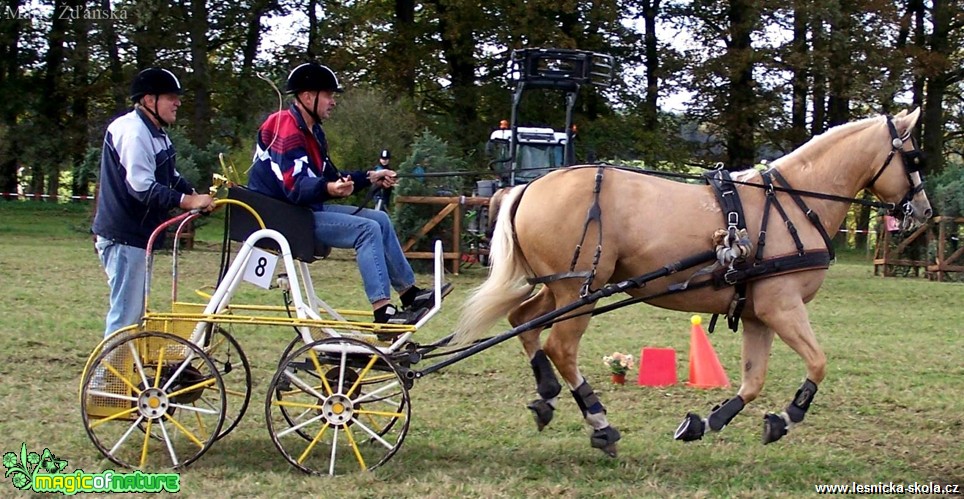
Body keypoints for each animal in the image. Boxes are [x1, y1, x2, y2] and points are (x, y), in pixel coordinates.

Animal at [456, 109, 932, 458]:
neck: (796, 202)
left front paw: (706, 422)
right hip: (579, 290)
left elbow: (753, 380)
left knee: (525, 322)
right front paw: (786, 418)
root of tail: (528, 186)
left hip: (559, 287)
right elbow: (818, 363)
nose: (925, 211)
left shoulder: (759, 313)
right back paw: (600, 423)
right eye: (913, 158)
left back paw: (547, 397)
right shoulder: (782, 306)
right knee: (560, 346)